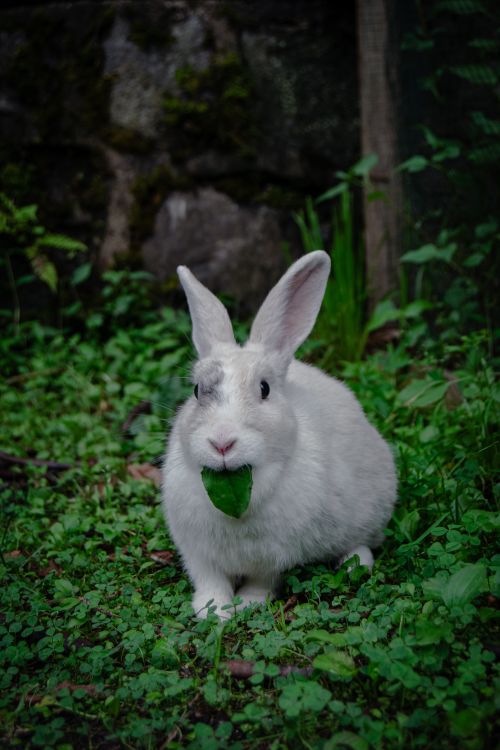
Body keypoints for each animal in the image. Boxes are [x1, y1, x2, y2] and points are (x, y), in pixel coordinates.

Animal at [161, 250, 397, 618]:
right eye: (198, 391)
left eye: (265, 389)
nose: (222, 442)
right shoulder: (197, 552)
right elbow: (210, 579)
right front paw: (213, 611)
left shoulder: (275, 556)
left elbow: (262, 580)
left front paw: (247, 604)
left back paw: (354, 564)